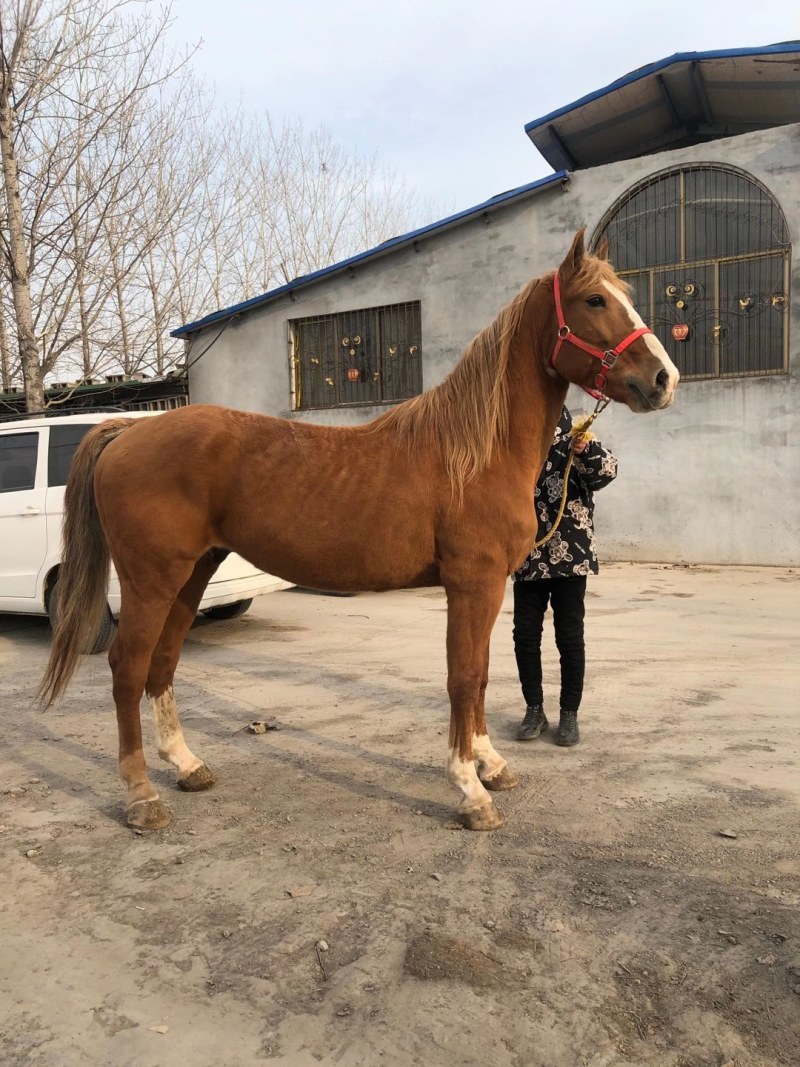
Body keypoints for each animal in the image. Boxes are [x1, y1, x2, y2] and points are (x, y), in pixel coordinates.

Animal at [40, 230, 679, 833]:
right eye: (595, 300)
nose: (663, 378)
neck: (475, 453)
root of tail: (127, 431)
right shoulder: (471, 585)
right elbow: (463, 677)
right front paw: (470, 792)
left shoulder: (489, 588)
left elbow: (479, 677)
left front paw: (491, 765)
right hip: (151, 579)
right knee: (127, 667)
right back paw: (142, 797)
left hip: (193, 573)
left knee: (164, 662)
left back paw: (188, 766)